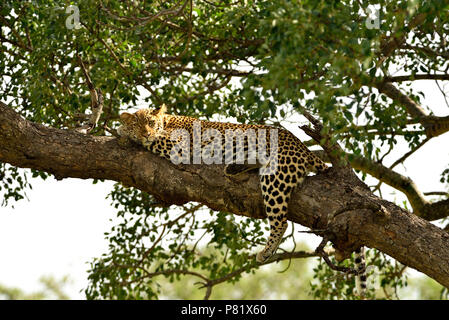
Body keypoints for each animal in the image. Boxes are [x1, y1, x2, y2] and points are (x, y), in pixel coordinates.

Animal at [117, 105, 330, 264]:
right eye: (138, 125)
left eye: (151, 123)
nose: (146, 133)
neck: (168, 121)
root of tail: (303, 147)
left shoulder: (178, 144)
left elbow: (153, 140)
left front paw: (122, 131)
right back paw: (236, 167)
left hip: (276, 176)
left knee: (281, 222)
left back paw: (266, 251)